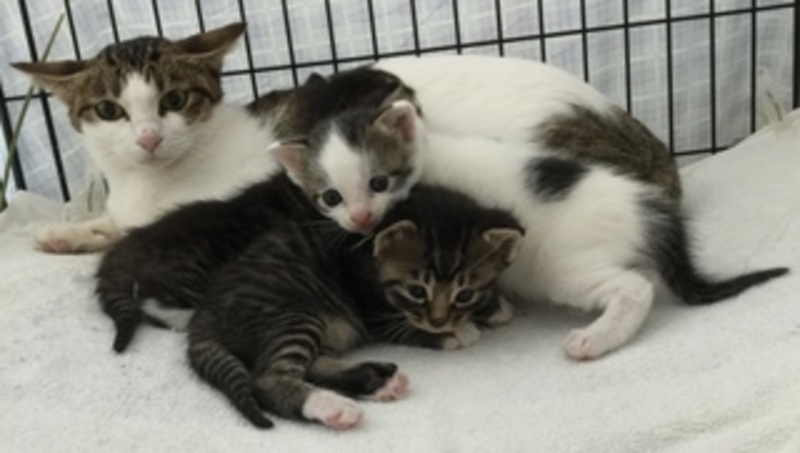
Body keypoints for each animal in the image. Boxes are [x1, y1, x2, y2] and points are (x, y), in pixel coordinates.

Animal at [188, 185, 521, 429]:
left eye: (464, 294)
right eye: (416, 291)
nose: (439, 322)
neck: (369, 251)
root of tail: (203, 315)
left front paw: (493, 306)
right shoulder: (371, 310)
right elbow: (404, 327)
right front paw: (457, 332)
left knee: (314, 365)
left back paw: (381, 382)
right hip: (294, 314)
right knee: (267, 380)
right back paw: (330, 405)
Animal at [272, 98, 788, 360]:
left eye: (378, 182)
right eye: (331, 197)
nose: (361, 218)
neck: (431, 153)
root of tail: (648, 209)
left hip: (562, 267)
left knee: (635, 288)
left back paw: (596, 339)